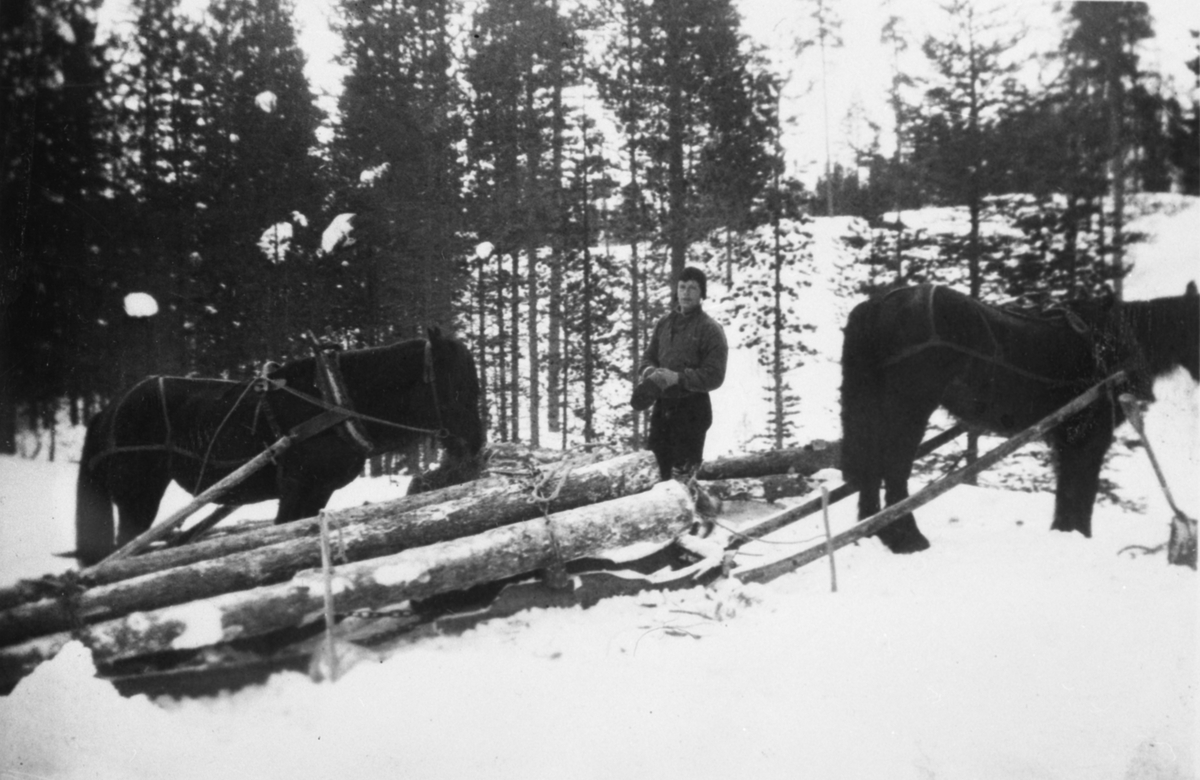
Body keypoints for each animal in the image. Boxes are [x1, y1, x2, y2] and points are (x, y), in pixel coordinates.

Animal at [71, 324, 477, 561]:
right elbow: (283, 530)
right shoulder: (296, 487)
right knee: (125, 548)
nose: (474, 445)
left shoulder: (319, 491)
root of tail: (107, 411)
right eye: (456, 383)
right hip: (137, 494)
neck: (335, 400)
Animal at [840, 282, 1195, 549]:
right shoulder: (1091, 433)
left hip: (873, 407)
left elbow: (1067, 488)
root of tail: (877, 305)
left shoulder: (1067, 435)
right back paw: (906, 539)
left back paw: (872, 531)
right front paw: (1079, 535)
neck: (1113, 343)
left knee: (871, 469)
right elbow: (1083, 488)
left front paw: (1064, 532)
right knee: (894, 470)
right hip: (910, 408)